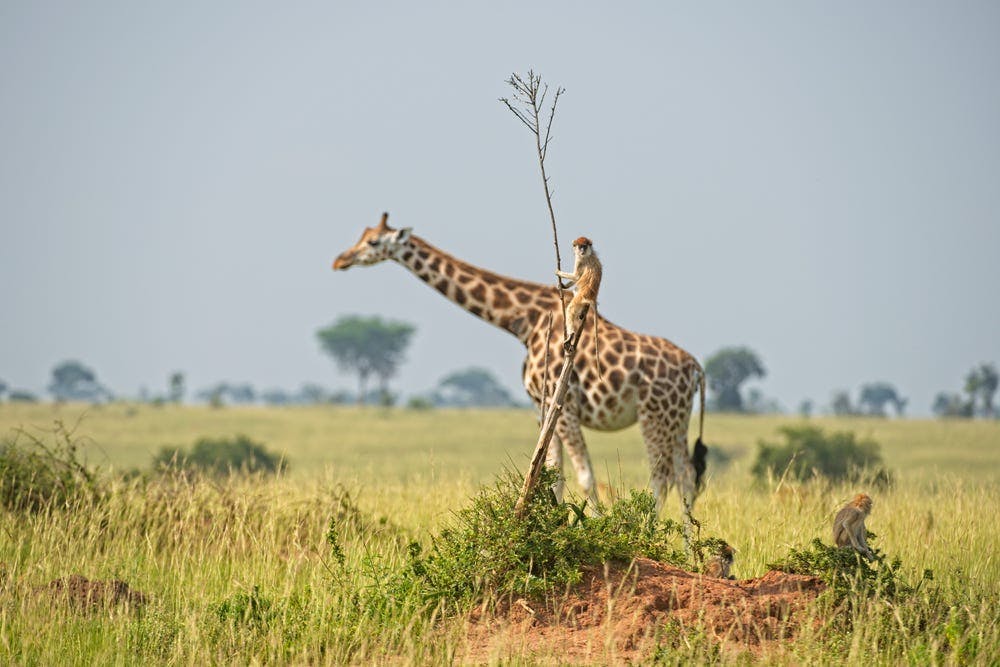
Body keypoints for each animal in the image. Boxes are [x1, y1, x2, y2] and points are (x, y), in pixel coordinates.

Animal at [556, 239, 600, 376]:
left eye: (584, 246)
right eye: (580, 246)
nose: (582, 250)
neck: (589, 254)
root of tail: (592, 296)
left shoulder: (580, 261)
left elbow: (576, 277)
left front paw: (558, 272)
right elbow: (576, 278)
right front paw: (563, 286)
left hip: (580, 297)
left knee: (570, 309)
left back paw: (571, 335)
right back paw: (581, 314)